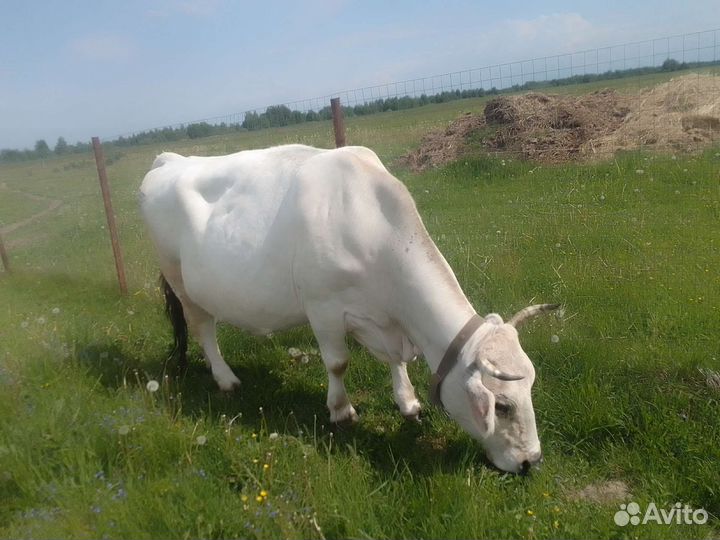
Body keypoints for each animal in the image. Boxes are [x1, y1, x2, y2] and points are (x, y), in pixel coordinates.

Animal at [139, 144, 558, 474]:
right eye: (502, 406)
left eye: (531, 391)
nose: (532, 462)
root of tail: (168, 159)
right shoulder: (322, 308)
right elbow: (338, 363)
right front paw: (342, 412)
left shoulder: (385, 321)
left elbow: (396, 360)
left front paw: (408, 402)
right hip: (180, 280)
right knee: (204, 329)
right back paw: (226, 378)